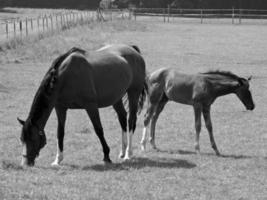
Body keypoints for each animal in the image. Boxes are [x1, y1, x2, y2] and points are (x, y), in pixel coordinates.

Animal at [18, 44, 149, 167]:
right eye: (22, 139)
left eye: (33, 139)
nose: (25, 163)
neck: (66, 76)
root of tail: (133, 50)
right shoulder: (60, 108)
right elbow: (60, 132)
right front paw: (58, 159)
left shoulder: (91, 107)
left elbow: (99, 130)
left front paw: (106, 156)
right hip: (116, 98)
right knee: (122, 118)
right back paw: (122, 151)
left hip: (133, 93)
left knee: (130, 120)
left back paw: (128, 153)